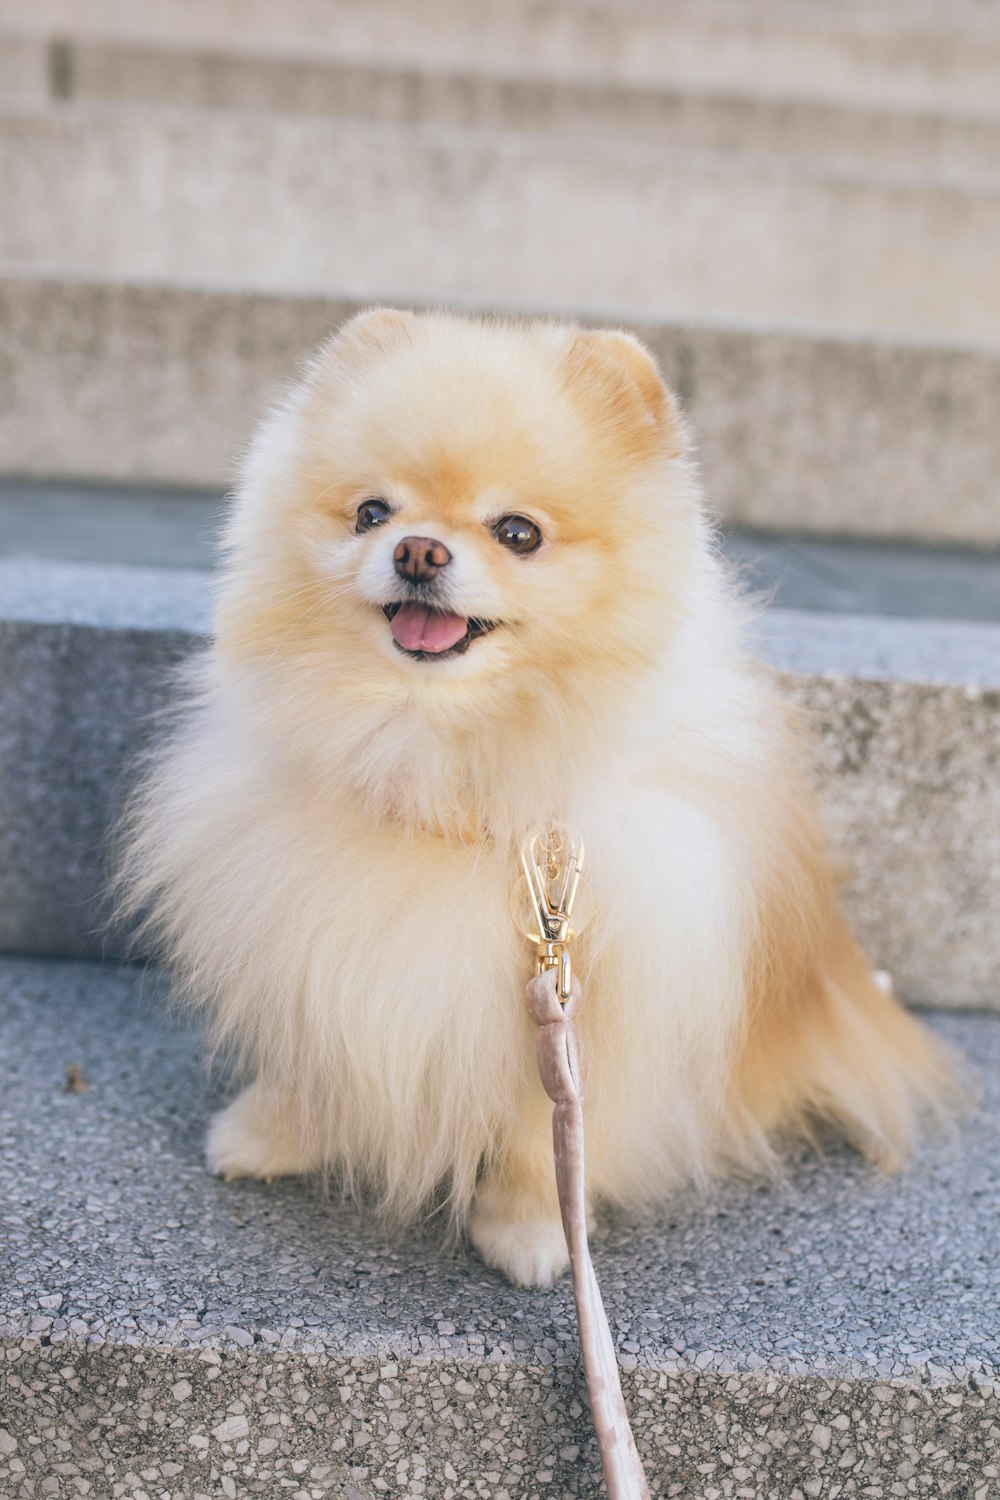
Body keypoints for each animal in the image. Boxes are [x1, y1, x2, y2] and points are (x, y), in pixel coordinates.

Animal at [121, 307, 953, 1290]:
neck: (447, 770)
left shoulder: (592, 1009)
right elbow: (322, 1056)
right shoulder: (318, 942)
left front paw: (531, 1229)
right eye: (371, 513)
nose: (417, 549)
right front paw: (272, 1132)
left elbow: (544, 1135)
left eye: (518, 532)